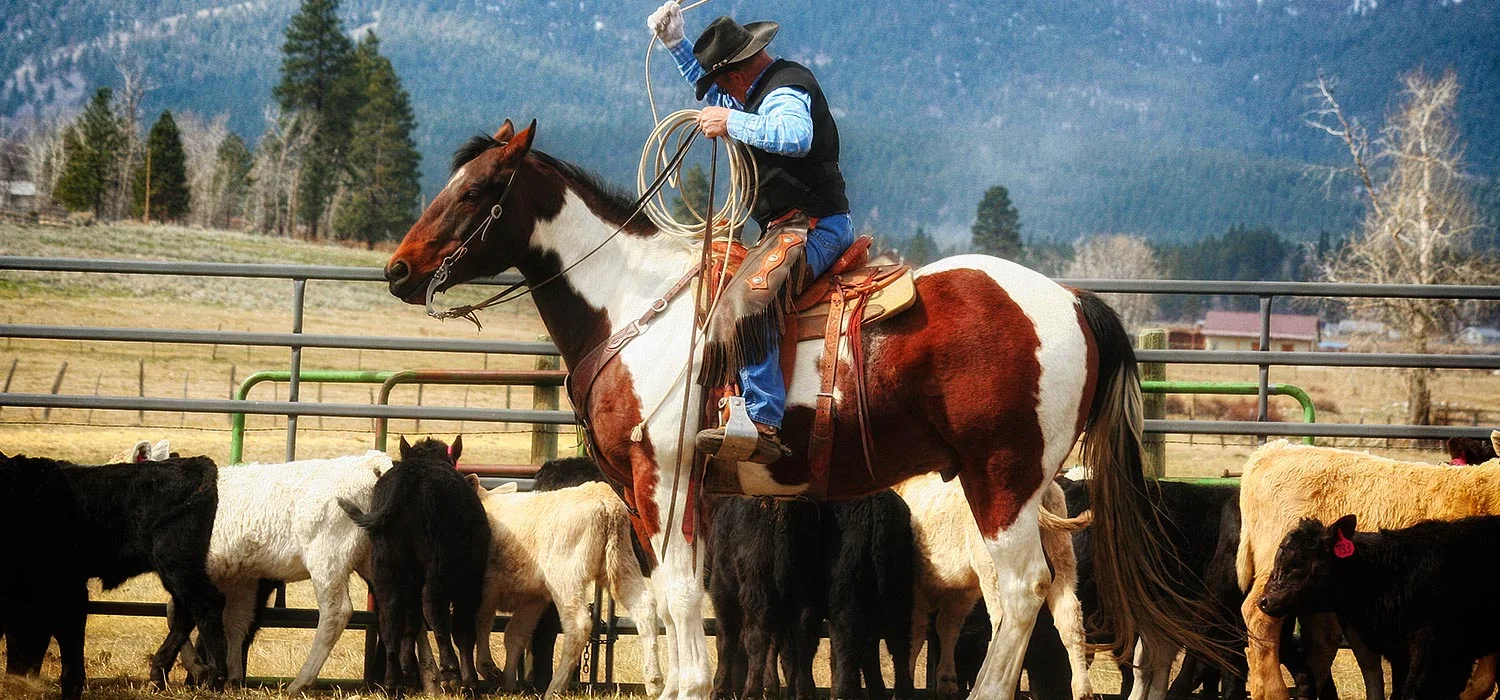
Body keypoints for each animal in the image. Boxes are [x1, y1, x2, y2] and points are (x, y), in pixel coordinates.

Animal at [385, 118, 1225, 700]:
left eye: (475, 191)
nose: (398, 269)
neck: (631, 307)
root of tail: (1077, 300)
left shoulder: (669, 479)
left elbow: (683, 598)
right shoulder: (653, 494)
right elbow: (666, 603)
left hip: (1003, 476)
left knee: (1018, 594)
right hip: (1017, 488)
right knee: (1028, 594)